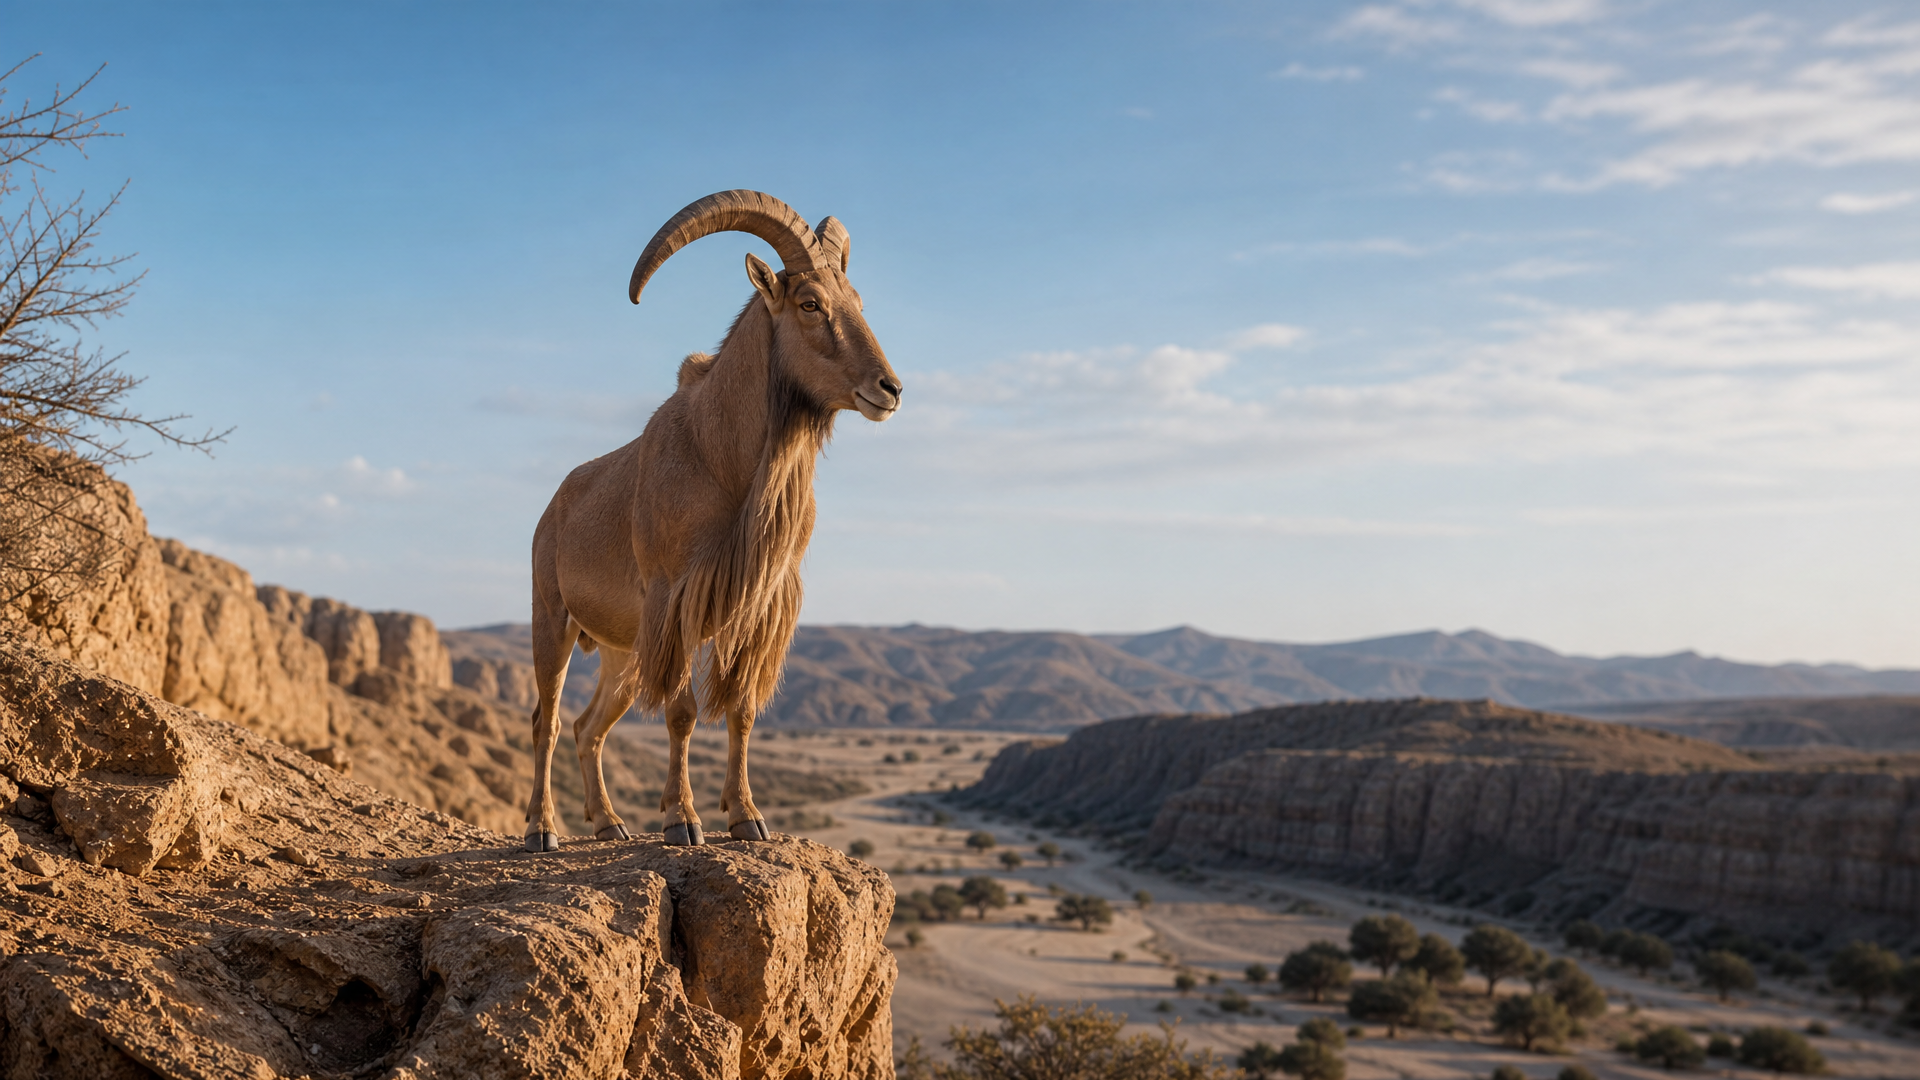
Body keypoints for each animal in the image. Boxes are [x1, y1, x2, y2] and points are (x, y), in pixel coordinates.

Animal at [523, 190, 903, 852]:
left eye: (857, 302)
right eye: (810, 303)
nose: (890, 388)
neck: (722, 457)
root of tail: (554, 507)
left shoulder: (754, 608)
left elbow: (743, 711)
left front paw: (747, 816)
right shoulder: (676, 597)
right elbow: (682, 714)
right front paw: (683, 820)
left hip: (622, 654)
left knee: (587, 726)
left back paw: (609, 822)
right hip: (555, 619)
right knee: (546, 720)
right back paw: (542, 830)